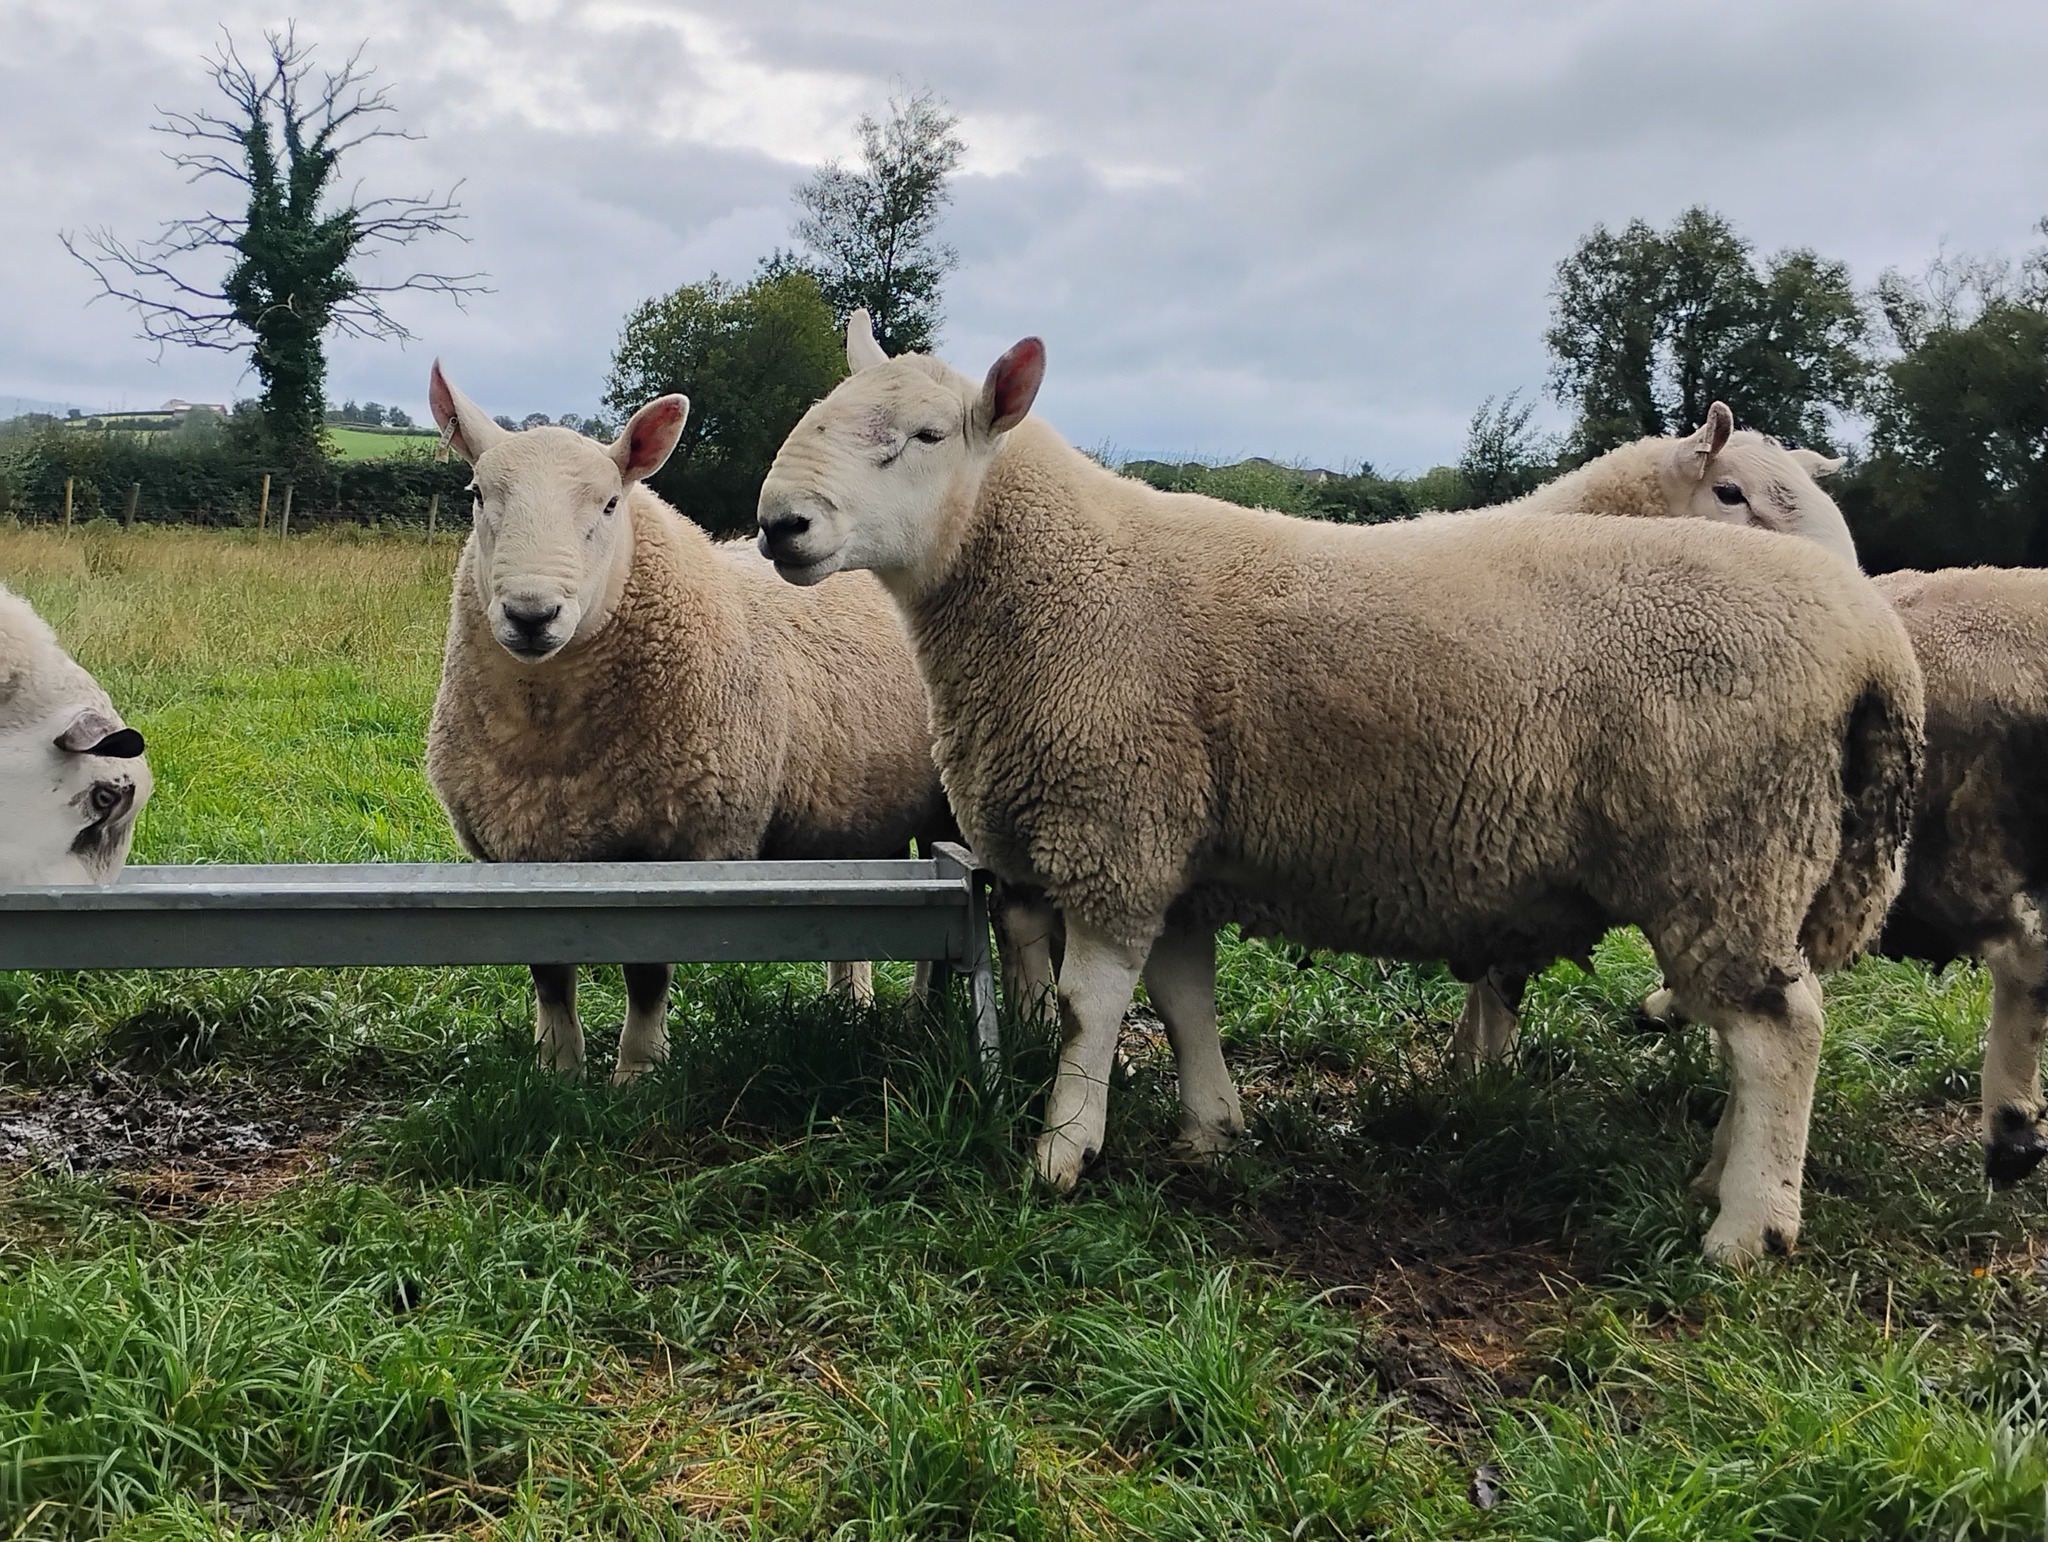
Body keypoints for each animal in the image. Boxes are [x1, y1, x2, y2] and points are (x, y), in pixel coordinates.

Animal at [424, 364, 955, 1082]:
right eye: (478, 494)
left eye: (610, 505)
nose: (531, 614)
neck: (553, 751)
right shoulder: (519, 848)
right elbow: (549, 973)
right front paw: (557, 1071)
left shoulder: (680, 841)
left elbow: (647, 974)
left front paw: (638, 1073)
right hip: (852, 802)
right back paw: (851, 1005)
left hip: (944, 804)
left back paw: (925, 1015)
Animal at [754, 313, 1923, 1264]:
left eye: (923, 437)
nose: (778, 525)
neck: (1062, 578)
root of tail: (1871, 640)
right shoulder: (1179, 841)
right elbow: (1183, 1000)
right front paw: (1212, 1128)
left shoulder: (1119, 825)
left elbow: (1092, 1013)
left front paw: (1061, 1154)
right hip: (1745, 867)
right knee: (1755, 1029)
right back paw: (1712, 1182)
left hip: (1726, 849)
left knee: (1778, 1033)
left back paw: (1745, 1229)